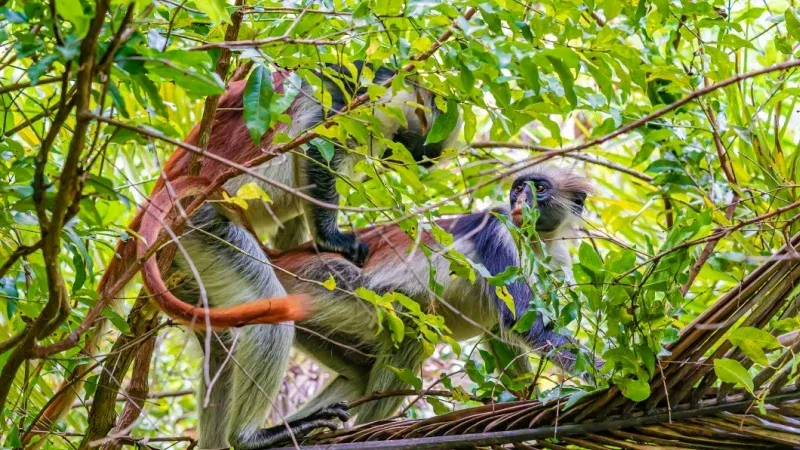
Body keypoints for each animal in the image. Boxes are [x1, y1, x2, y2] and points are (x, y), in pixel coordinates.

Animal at [217, 166, 597, 447]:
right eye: (518, 189)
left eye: (539, 189)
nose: (522, 200)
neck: (536, 239)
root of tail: (284, 258)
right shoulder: (500, 231)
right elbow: (520, 321)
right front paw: (608, 377)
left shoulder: (555, 258)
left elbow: (501, 333)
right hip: (325, 281)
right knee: (414, 326)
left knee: (360, 372)